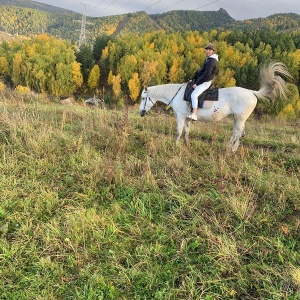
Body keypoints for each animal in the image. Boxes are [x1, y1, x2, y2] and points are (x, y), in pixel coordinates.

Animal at [139, 63, 292, 152]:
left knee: (238, 133)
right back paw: (229, 146)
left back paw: (232, 150)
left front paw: (175, 146)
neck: (177, 94)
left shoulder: (181, 117)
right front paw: (186, 144)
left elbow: (178, 132)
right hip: (238, 119)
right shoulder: (187, 118)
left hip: (240, 118)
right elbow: (187, 132)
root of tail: (252, 92)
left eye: (143, 98)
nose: (140, 112)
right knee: (237, 133)